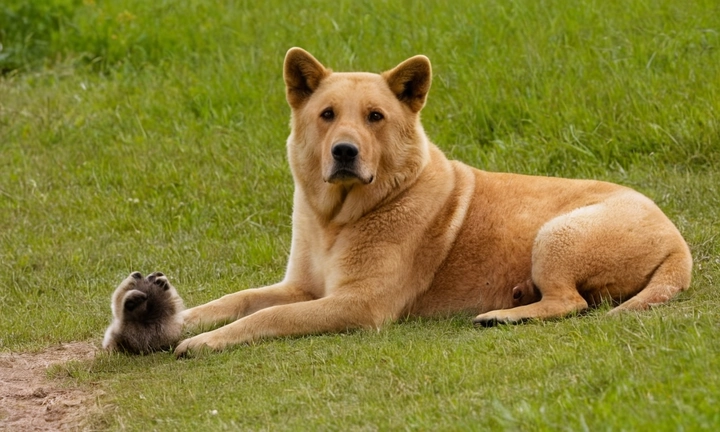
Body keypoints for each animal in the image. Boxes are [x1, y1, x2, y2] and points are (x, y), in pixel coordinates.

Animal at [170, 48, 692, 358]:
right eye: (327, 115)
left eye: (375, 117)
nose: (344, 151)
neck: (338, 219)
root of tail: (677, 242)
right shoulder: (302, 286)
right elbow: (239, 299)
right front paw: (181, 322)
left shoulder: (358, 304)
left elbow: (268, 316)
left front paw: (204, 340)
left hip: (556, 236)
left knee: (570, 303)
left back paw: (501, 316)